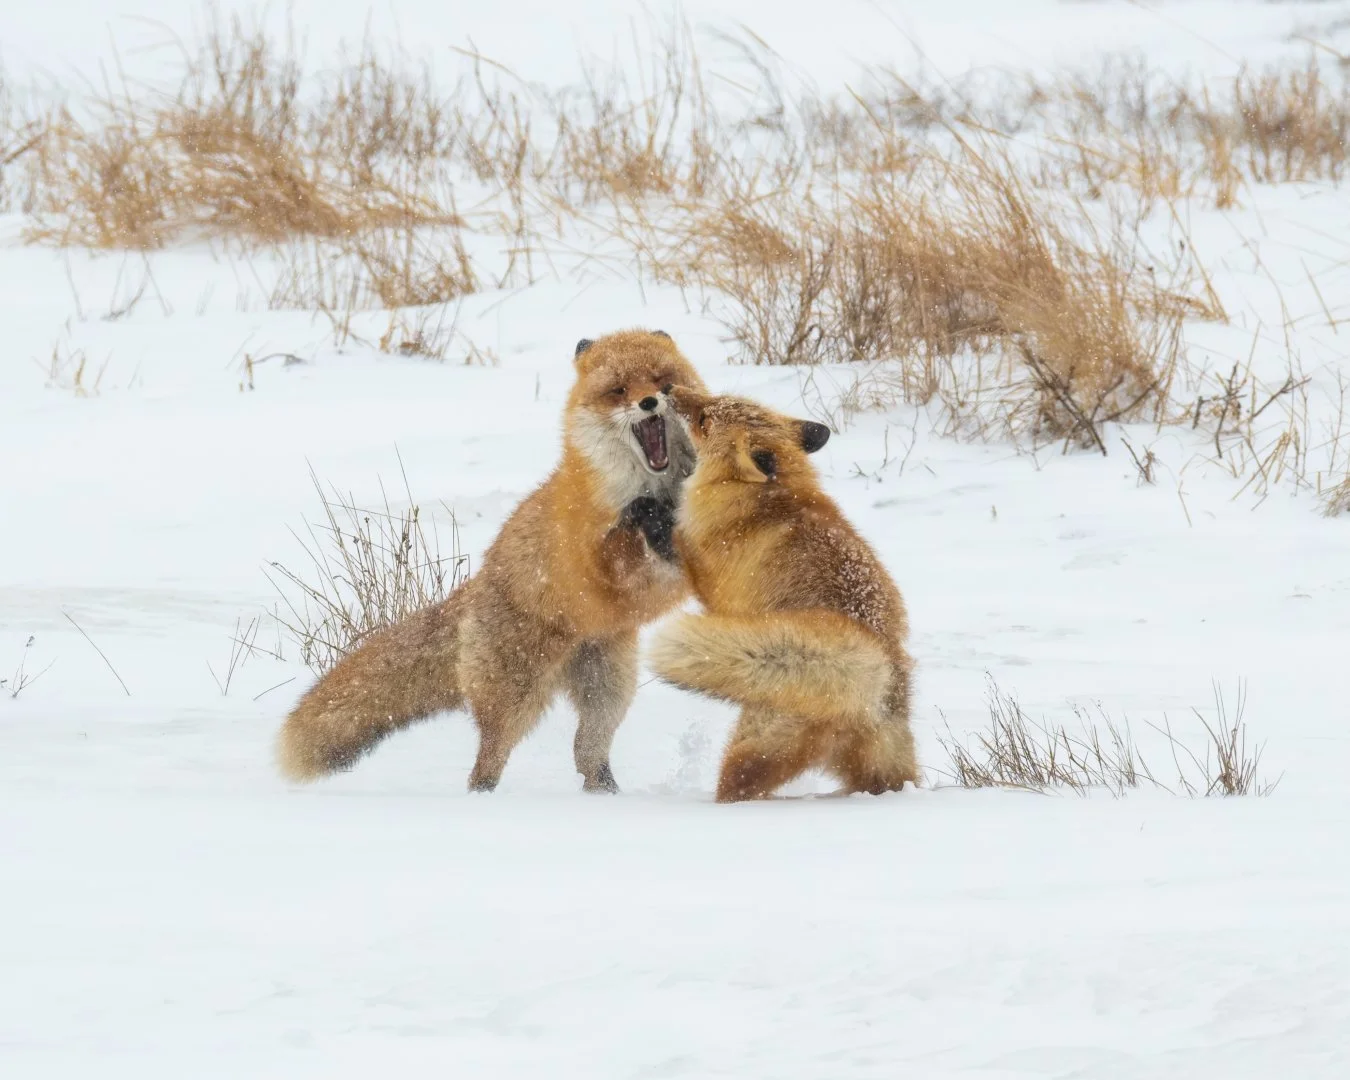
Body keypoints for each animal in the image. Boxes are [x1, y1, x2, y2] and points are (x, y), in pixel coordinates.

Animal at [276, 329, 708, 793]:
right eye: (619, 390)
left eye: (663, 382)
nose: (649, 403)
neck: (652, 485)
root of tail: (478, 582)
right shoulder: (595, 562)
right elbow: (620, 550)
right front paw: (643, 522)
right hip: (515, 698)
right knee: (487, 763)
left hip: (609, 692)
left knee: (587, 754)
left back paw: (607, 795)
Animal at [647, 387, 918, 802]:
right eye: (713, 398)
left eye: (704, 420)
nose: (668, 390)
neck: (769, 493)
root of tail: (880, 673)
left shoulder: (710, 578)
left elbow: (674, 540)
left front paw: (649, 516)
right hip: (891, 771)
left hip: (750, 751)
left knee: (736, 789)